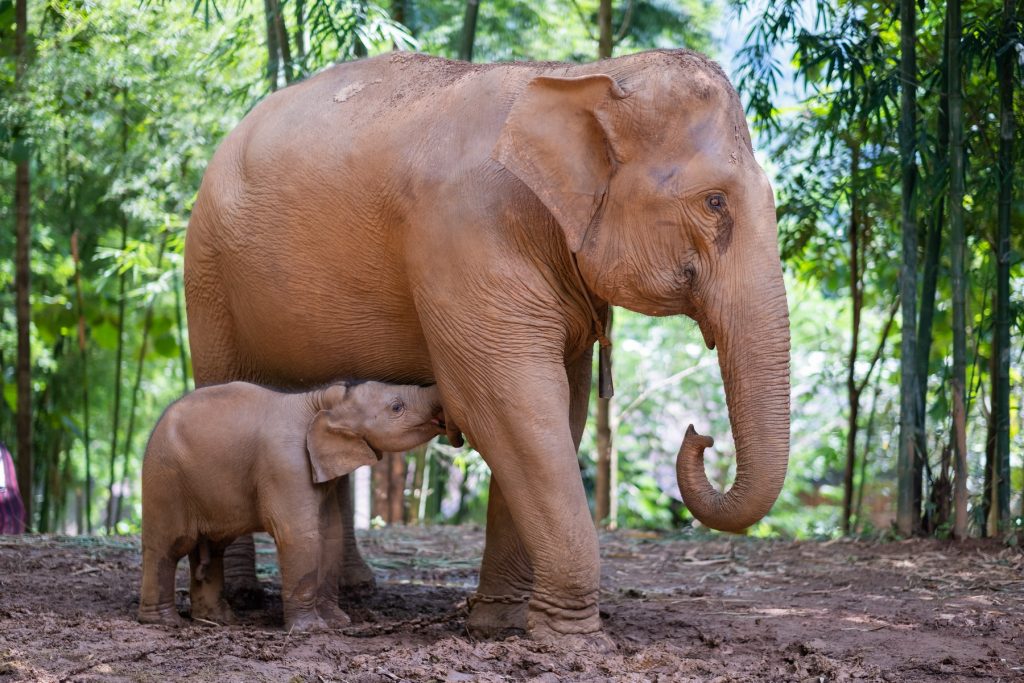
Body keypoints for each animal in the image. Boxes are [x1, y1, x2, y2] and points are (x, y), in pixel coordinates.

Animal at [137, 380, 447, 631]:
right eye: (397, 407)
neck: (321, 400)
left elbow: (330, 534)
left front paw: (338, 622)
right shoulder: (286, 463)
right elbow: (299, 535)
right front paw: (311, 630)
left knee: (212, 550)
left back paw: (220, 620)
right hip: (163, 479)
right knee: (168, 547)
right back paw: (164, 622)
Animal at [183, 48, 791, 646]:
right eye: (714, 202)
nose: (700, 436)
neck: (583, 75)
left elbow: (559, 411)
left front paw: (501, 625)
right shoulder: (466, 236)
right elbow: (509, 407)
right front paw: (573, 641)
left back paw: (357, 591)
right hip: (208, 278)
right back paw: (243, 598)